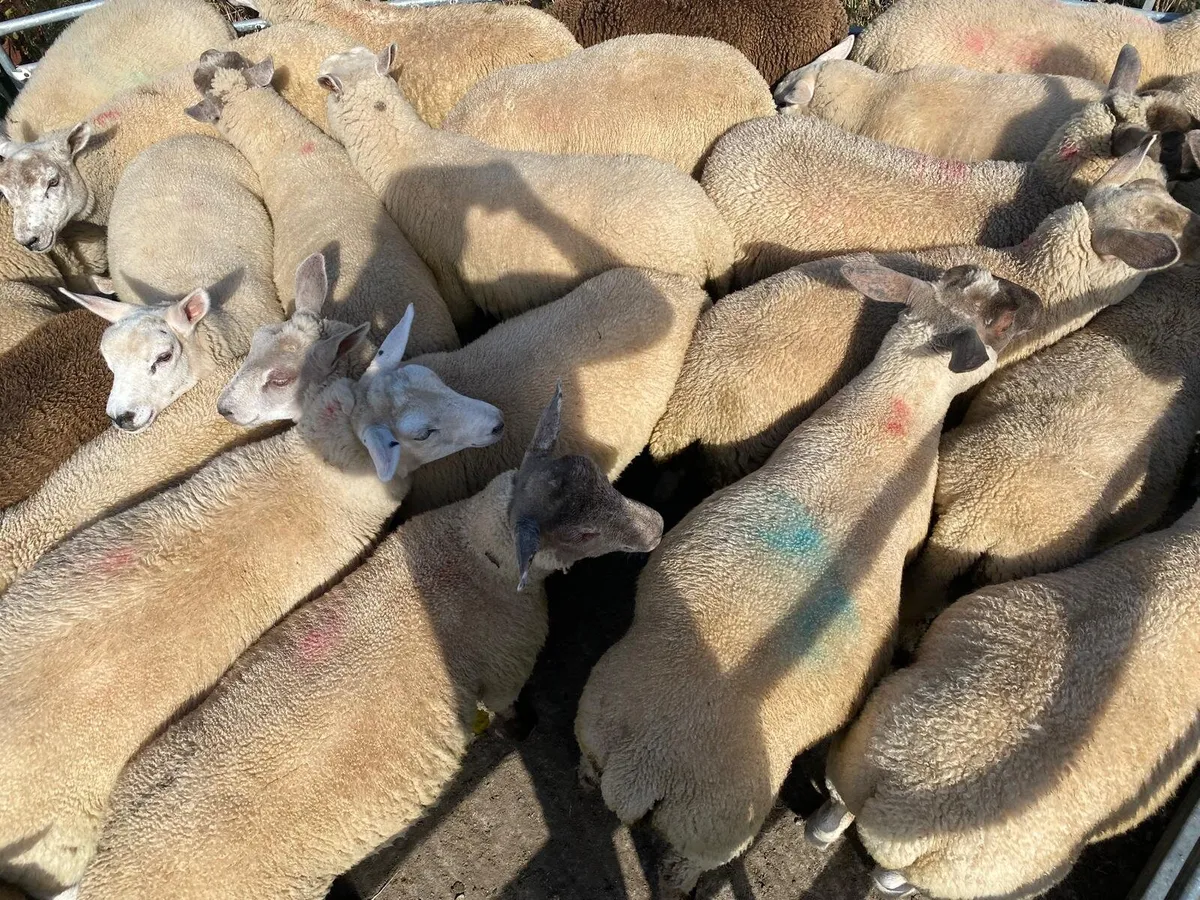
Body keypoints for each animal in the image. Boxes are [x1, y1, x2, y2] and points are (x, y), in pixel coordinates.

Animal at [75, 386, 662, 900]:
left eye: (594, 473)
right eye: (583, 535)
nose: (657, 526)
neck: (474, 554)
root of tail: (105, 875)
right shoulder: (505, 668)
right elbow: (510, 709)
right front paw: (521, 731)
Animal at [576, 258, 1040, 899]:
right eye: (1002, 318)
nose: (1039, 301)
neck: (893, 414)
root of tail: (644, 766)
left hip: (597, 716)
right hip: (711, 830)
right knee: (683, 866)